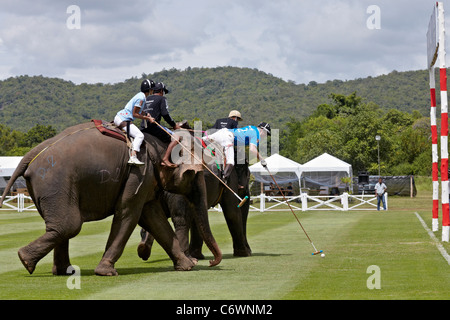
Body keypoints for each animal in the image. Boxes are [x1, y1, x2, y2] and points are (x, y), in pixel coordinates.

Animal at [0, 121, 221, 276]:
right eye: (197, 175)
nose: (211, 262)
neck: (159, 142)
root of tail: (33, 153)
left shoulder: (146, 177)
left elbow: (153, 217)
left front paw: (186, 266)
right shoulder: (139, 171)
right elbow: (128, 213)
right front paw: (106, 271)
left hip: (50, 188)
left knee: (62, 226)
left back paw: (62, 270)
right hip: (55, 182)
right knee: (69, 225)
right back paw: (25, 260)